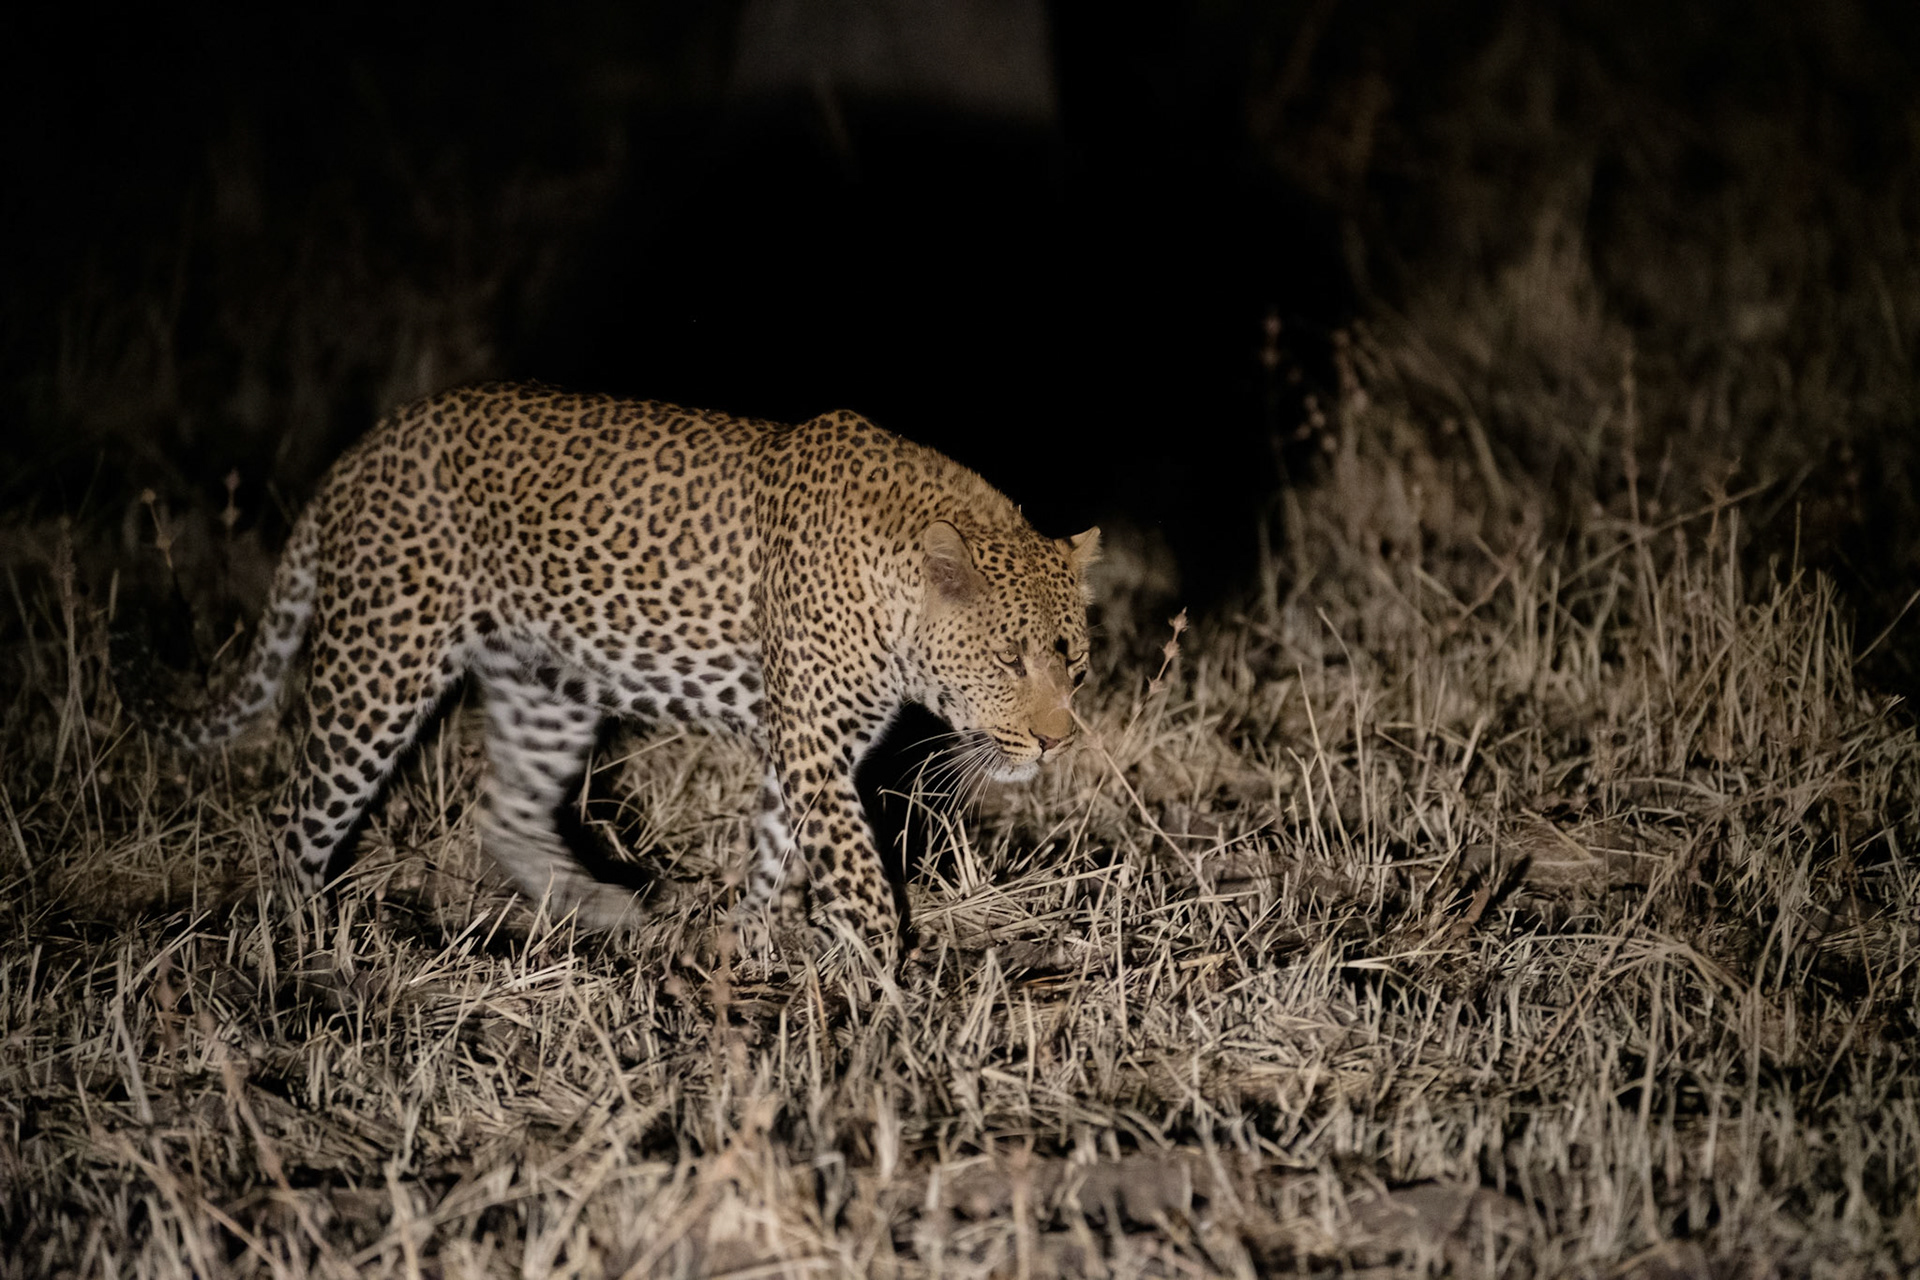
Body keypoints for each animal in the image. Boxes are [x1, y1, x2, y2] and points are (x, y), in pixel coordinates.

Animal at [113, 382, 1098, 953]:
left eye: (1077, 666)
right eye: (1009, 659)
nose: (1057, 745)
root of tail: (360, 454)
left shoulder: (809, 749)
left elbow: (776, 848)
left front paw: (742, 941)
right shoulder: (814, 743)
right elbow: (852, 863)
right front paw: (888, 980)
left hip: (542, 684)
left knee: (503, 812)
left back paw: (607, 909)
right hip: (379, 666)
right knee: (293, 818)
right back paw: (303, 952)